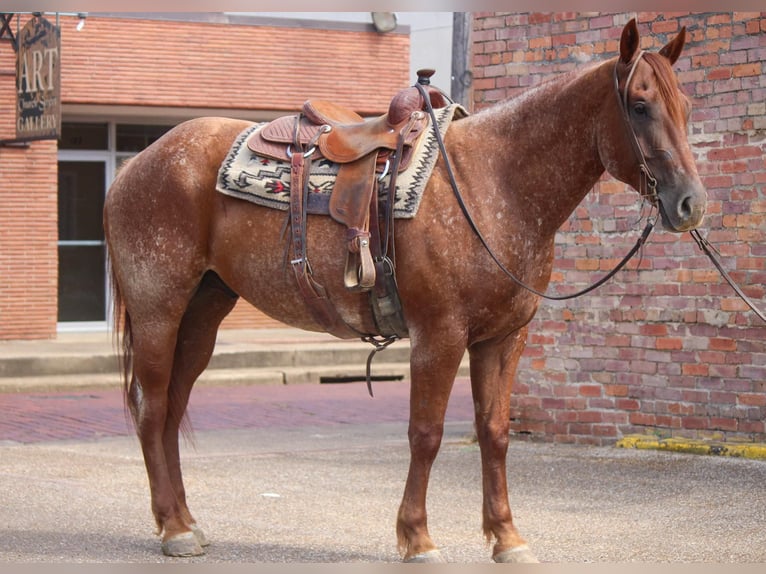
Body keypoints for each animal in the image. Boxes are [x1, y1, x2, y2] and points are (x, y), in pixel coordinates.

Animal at [105, 21, 712, 564]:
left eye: (685, 106)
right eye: (639, 105)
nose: (690, 204)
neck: (493, 183)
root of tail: (137, 163)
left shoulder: (504, 338)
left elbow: (495, 432)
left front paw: (507, 538)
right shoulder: (438, 336)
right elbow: (427, 433)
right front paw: (417, 538)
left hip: (204, 310)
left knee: (172, 406)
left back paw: (186, 521)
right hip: (160, 308)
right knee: (150, 405)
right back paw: (174, 531)